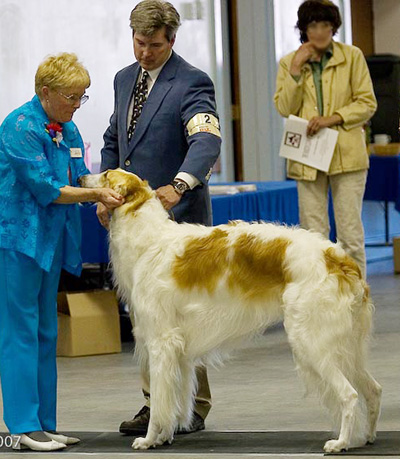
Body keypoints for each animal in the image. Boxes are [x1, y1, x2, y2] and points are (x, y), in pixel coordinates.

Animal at [79, 170, 382, 452]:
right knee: (373, 390)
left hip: (311, 342)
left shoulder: (161, 342)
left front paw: (150, 439)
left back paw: (341, 442)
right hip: (348, 347)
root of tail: (340, 260)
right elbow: (173, 400)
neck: (149, 240)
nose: (80, 177)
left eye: (105, 174)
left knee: (350, 394)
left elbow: (159, 403)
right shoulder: (179, 351)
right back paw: (367, 437)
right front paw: (166, 436)